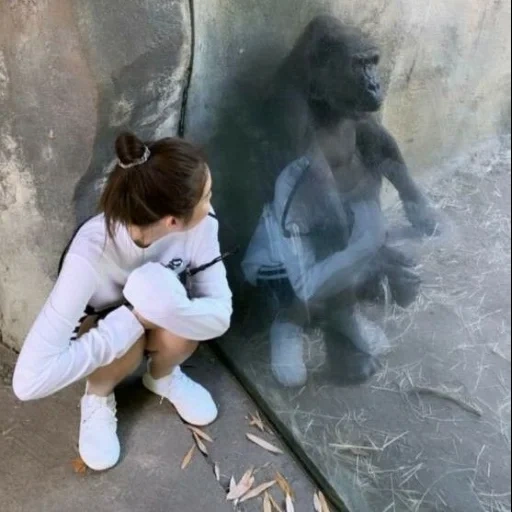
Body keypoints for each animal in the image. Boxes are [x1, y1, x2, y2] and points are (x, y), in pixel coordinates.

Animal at [241, 14, 440, 386]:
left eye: (373, 62)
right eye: (358, 64)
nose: (375, 85)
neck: (317, 91)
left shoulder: (362, 111)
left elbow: (380, 145)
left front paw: (420, 209)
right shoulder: (291, 110)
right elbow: (325, 212)